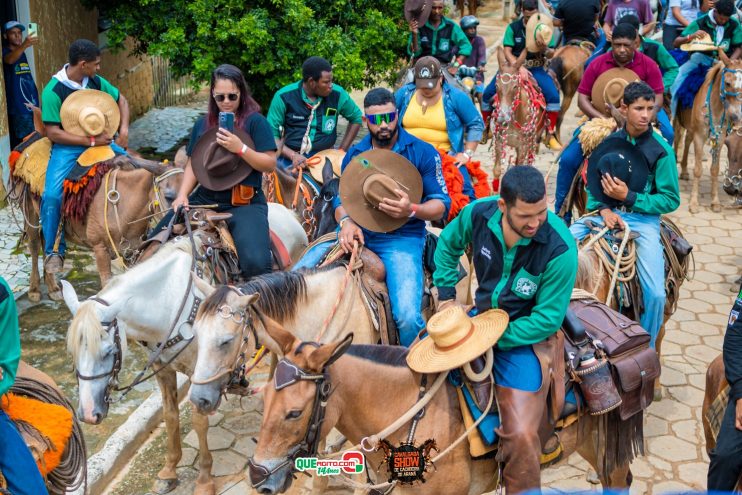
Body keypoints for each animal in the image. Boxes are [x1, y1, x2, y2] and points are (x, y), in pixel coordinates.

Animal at [58, 203, 308, 495]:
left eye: (108, 350)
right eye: (73, 354)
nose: (88, 414)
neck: (167, 298)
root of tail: (290, 213)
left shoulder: (199, 370)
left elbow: (199, 421)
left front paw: (204, 479)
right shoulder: (162, 367)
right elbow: (170, 415)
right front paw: (168, 470)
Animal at [494, 46, 548, 180]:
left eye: (515, 87)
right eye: (496, 86)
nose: (503, 117)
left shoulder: (523, 145)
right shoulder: (499, 141)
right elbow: (496, 170)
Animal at [676, 54, 742, 213]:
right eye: (728, 82)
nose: (736, 116)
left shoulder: (720, 138)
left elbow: (714, 169)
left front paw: (715, 202)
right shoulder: (700, 136)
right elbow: (698, 169)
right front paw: (694, 203)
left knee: (687, 140)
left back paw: (684, 170)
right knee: (677, 136)